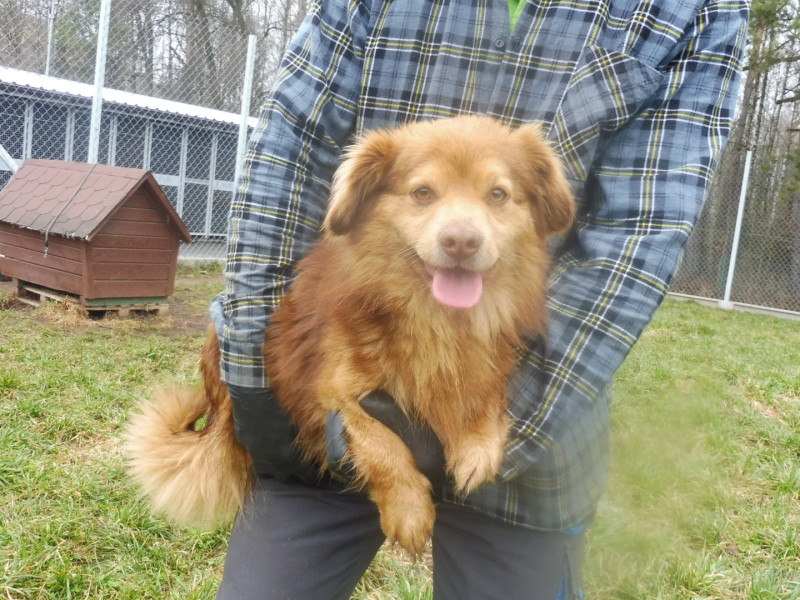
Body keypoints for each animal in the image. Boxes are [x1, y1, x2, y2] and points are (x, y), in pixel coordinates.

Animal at [124, 115, 575, 555]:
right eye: (423, 192)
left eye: (498, 194)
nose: (461, 241)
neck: (435, 316)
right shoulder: (338, 391)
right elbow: (381, 445)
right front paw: (409, 510)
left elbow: (484, 394)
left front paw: (478, 444)